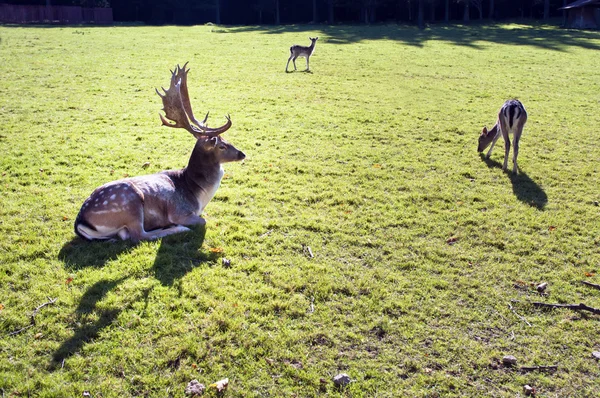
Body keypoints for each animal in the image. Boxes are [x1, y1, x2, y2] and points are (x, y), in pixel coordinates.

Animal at [74, 63, 245, 243]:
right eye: (221, 146)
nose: (242, 154)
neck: (199, 196)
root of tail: (80, 222)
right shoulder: (179, 212)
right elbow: (202, 220)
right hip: (131, 204)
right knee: (138, 235)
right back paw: (176, 229)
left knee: (125, 235)